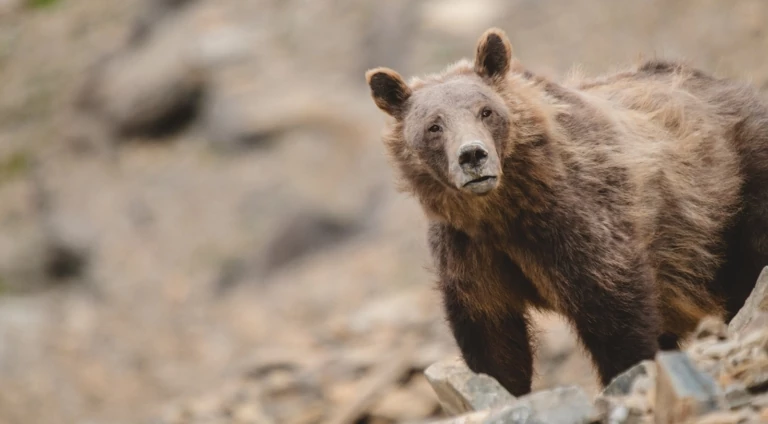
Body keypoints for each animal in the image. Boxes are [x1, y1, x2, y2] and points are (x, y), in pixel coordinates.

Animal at [364, 28, 768, 396]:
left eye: (486, 111)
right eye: (433, 125)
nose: (472, 155)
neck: (504, 209)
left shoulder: (579, 224)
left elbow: (616, 313)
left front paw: (628, 374)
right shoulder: (470, 251)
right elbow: (492, 337)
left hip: (732, 194)